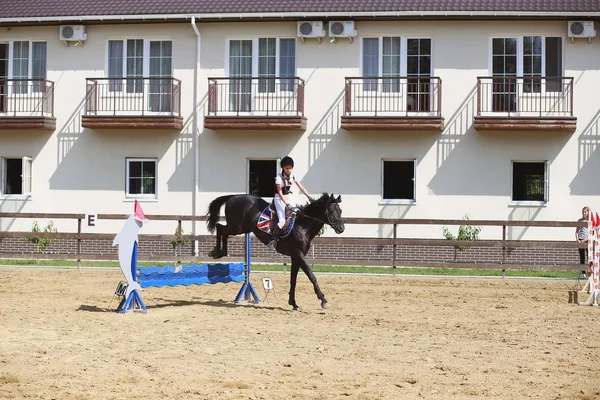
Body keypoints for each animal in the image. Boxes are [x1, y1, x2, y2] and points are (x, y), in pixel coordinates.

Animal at [206, 192, 344, 310]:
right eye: (331, 211)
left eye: (340, 211)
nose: (341, 228)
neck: (302, 226)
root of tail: (235, 196)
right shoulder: (299, 254)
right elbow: (312, 276)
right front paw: (323, 300)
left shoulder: (295, 257)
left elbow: (293, 280)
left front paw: (293, 303)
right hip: (236, 227)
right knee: (220, 228)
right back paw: (217, 252)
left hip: (242, 228)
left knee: (222, 230)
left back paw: (218, 252)